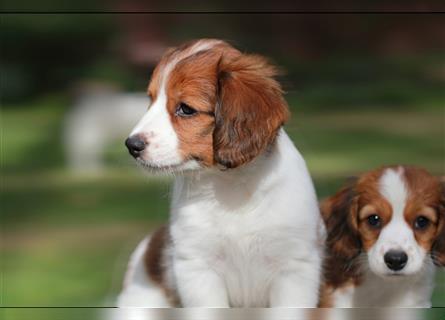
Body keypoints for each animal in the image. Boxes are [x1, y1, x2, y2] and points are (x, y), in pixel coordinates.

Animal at [114, 39, 322, 308]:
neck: (231, 187)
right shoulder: (196, 268)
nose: (132, 145)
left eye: (185, 109)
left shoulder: (295, 268)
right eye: (150, 100)